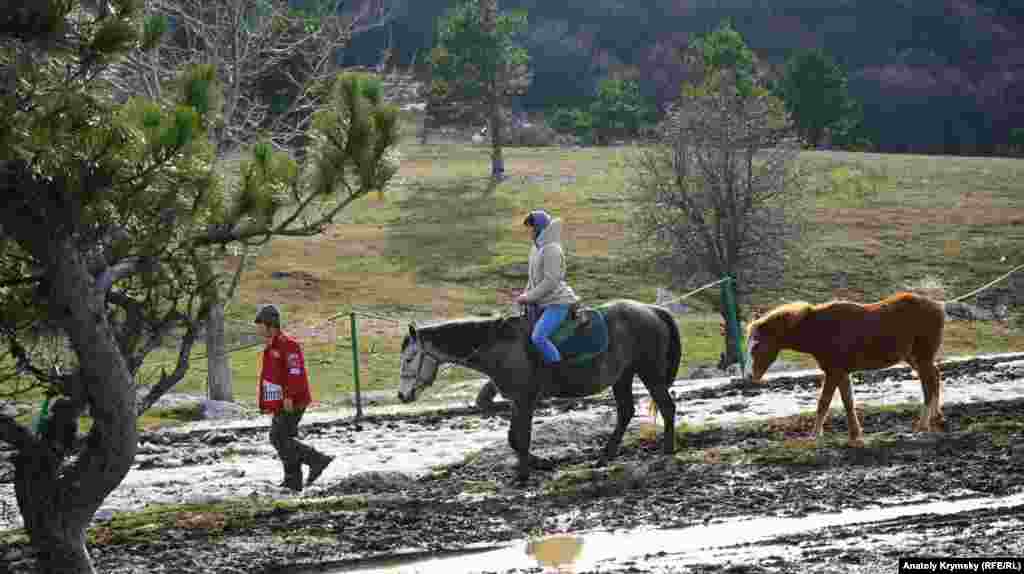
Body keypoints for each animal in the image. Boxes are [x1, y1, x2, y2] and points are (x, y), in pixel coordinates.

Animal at [397, 296, 679, 480]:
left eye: (409, 359)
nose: (402, 395)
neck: (500, 345)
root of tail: (652, 310)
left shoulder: (526, 399)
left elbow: (521, 438)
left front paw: (523, 475)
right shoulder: (518, 400)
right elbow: (513, 437)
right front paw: (539, 463)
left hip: (649, 372)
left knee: (666, 407)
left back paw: (667, 450)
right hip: (623, 376)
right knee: (626, 412)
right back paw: (605, 457)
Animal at [745, 290, 942, 448]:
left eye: (756, 345)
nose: (748, 376)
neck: (819, 329)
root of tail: (938, 306)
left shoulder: (835, 372)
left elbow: (824, 403)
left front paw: (814, 436)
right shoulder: (841, 372)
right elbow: (847, 402)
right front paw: (855, 436)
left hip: (922, 357)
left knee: (928, 384)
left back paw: (922, 425)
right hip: (914, 358)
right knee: (934, 377)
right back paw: (936, 418)